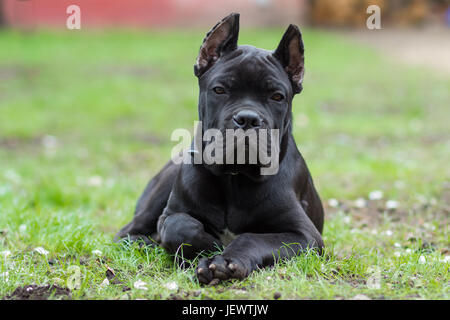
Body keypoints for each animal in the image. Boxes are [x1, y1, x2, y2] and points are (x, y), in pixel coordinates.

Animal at [117, 13, 324, 284]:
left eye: (277, 97)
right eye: (219, 90)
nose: (248, 119)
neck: (234, 176)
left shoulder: (305, 235)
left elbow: (251, 238)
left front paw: (225, 260)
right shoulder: (170, 214)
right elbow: (179, 227)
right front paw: (209, 244)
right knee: (127, 231)